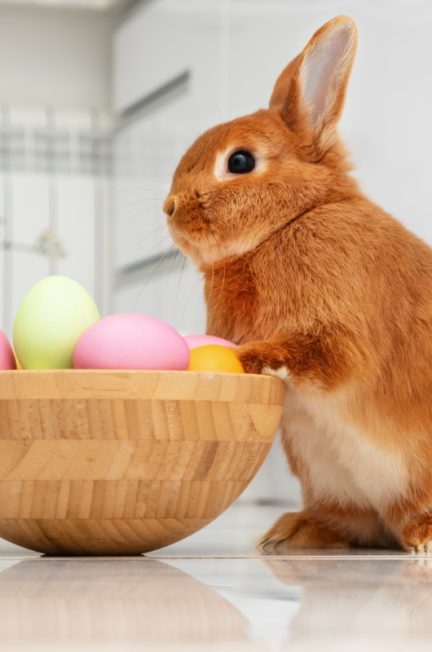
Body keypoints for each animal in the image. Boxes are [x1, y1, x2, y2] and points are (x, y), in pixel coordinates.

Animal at [163, 15, 432, 552]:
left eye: (240, 162)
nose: (170, 207)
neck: (288, 223)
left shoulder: (339, 328)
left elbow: (315, 352)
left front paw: (248, 359)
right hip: (327, 476)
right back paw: (290, 533)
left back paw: (423, 537)